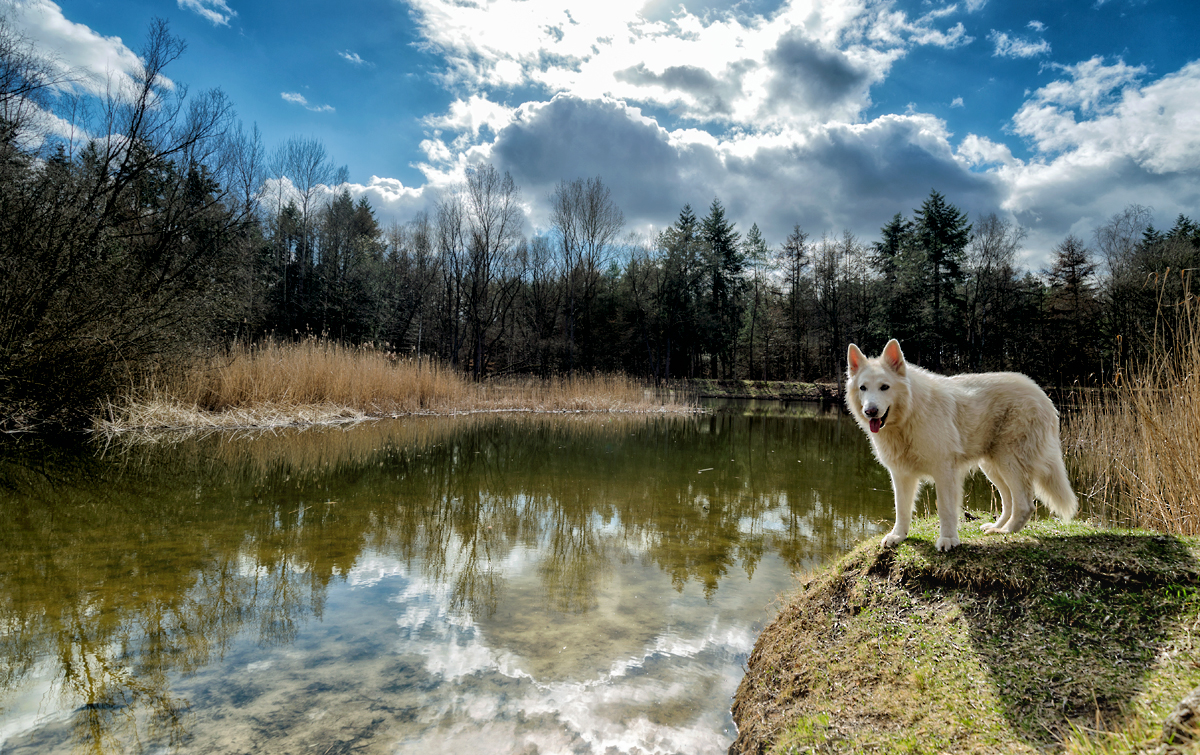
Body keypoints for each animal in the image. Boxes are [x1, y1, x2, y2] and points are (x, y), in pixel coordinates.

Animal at [844, 338, 1080, 549]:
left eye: (885, 387)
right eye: (863, 388)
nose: (870, 411)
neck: (907, 417)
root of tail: (1042, 395)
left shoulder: (944, 471)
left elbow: (946, 509)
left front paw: (948, 540)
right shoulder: (901, 474)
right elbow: (901, 509)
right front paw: (898, 536)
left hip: (1009, 461)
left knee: (1025, 504)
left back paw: (1004, 532)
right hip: (993, 467)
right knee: (1009, 501)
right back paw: (996, 527)